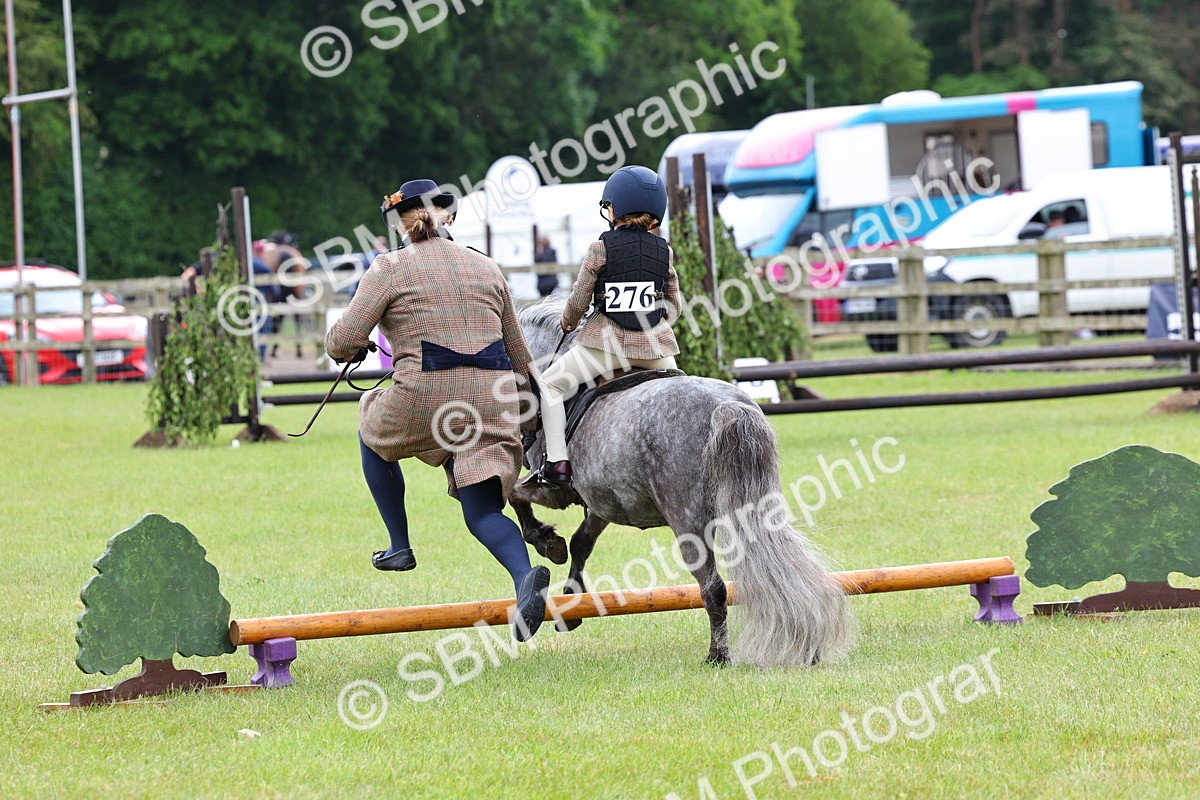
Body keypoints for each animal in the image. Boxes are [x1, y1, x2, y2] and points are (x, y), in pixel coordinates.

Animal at [509, 297, 851, 667]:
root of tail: (727, 407)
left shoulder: (557, 490)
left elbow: (515, 495)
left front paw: (545, 541)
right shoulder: (604, 503)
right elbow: (580, 542)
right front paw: (571, 606)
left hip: (688, 522)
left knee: (713, 586)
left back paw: (718, 655)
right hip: (756, 507)